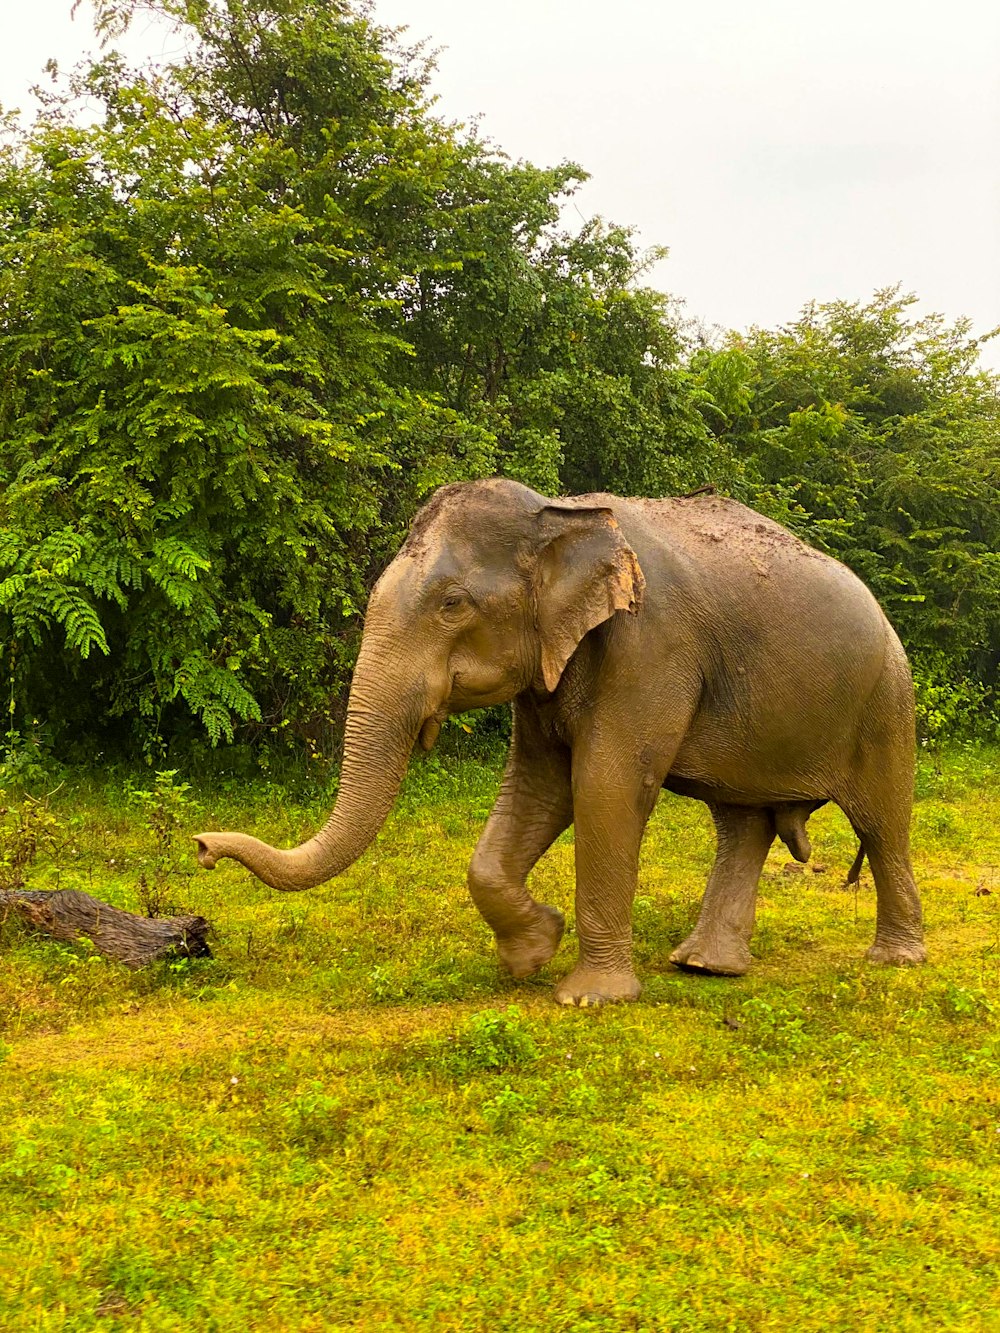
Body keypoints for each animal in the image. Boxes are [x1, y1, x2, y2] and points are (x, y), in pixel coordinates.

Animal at [197, 477, 933, 1002]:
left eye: (452, 604)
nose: (202, 848)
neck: (562, 514)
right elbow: (537, 784)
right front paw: (531, 954)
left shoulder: (651, 645)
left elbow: (602, 783)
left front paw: (587, 998)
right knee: (741, 824)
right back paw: (704, 966)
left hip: (886, 702)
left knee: (881, 821)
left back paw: (895, 959)